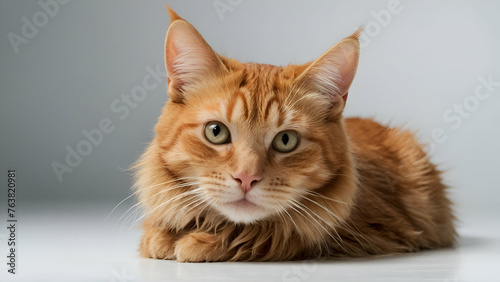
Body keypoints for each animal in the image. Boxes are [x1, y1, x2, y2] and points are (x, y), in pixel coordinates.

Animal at [135, 7, 456, 262]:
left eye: (286, 140)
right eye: (216, 132)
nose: (246, 178)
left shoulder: (375, 231)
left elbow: (273, 235)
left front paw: (202, 242)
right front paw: (162, 236)